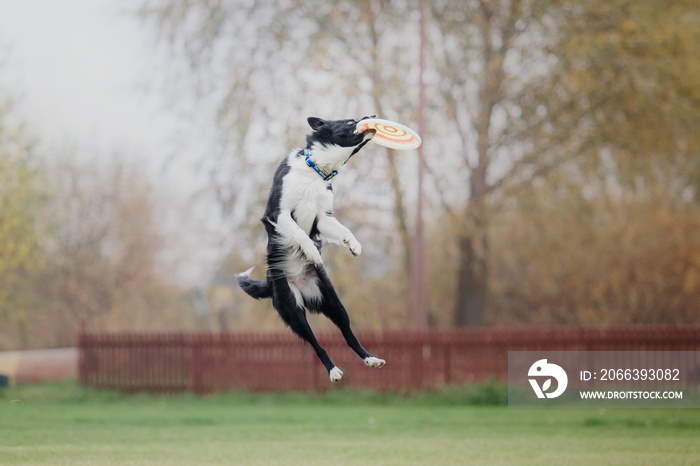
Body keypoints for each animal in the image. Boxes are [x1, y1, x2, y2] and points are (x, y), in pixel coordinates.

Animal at [238, 115, 386, 382]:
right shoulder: (278, 213)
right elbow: (299, 233)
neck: (315, 170)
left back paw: (371, 359)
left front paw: (354, 245)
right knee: (315, 344)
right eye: (350, 120)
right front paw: (313, 252)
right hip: (292, 309)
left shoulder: (322, 218)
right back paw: (333, 371)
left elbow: (343, 231)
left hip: (333, 301)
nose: (372, 116)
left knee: (349, 335)